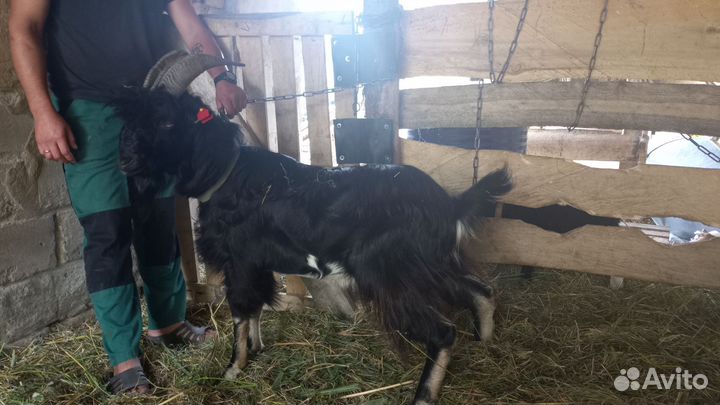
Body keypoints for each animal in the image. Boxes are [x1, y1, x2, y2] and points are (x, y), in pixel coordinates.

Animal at [112, 52, 512, 405]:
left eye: (167, 122)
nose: (125, 160)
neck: (226, 174)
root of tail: (450, 204)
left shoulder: (240, 261)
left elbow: (240, 311)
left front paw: (232, 369)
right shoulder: (258, 265)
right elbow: (256, 308)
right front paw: (256, 349)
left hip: (389, 272)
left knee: (443, 332)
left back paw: (424, 395)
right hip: (430, 263)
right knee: (481, 291)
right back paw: (486, 340)